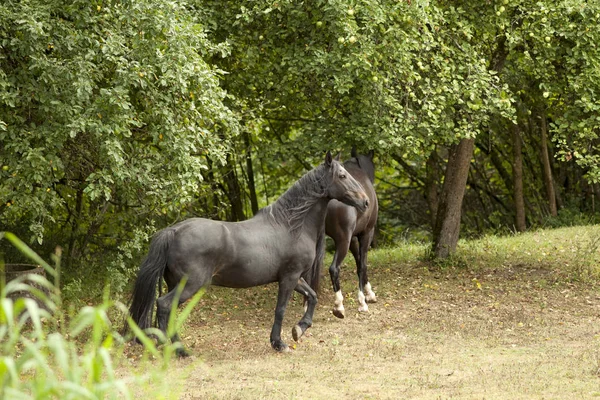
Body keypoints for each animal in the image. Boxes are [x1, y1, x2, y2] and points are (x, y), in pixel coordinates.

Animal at [128, 152, 368, 354]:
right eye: (342, 175)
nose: (365, 201)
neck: (290, 225)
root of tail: (174, 230)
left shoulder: (295, 277)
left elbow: (313, 296)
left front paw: (299, 329)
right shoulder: (289, 278)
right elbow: (281, 309)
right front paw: (279, 343)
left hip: (175, 284)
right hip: (190, 285)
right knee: (164, 305)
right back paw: (177, 349)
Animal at [326, 148, 378, 318]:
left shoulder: (353, 239)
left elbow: (358, 262)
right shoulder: (366, 233)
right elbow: (362, 264)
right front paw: (363, 300)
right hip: (343, 241)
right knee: (334, 268)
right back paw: (339, 306)